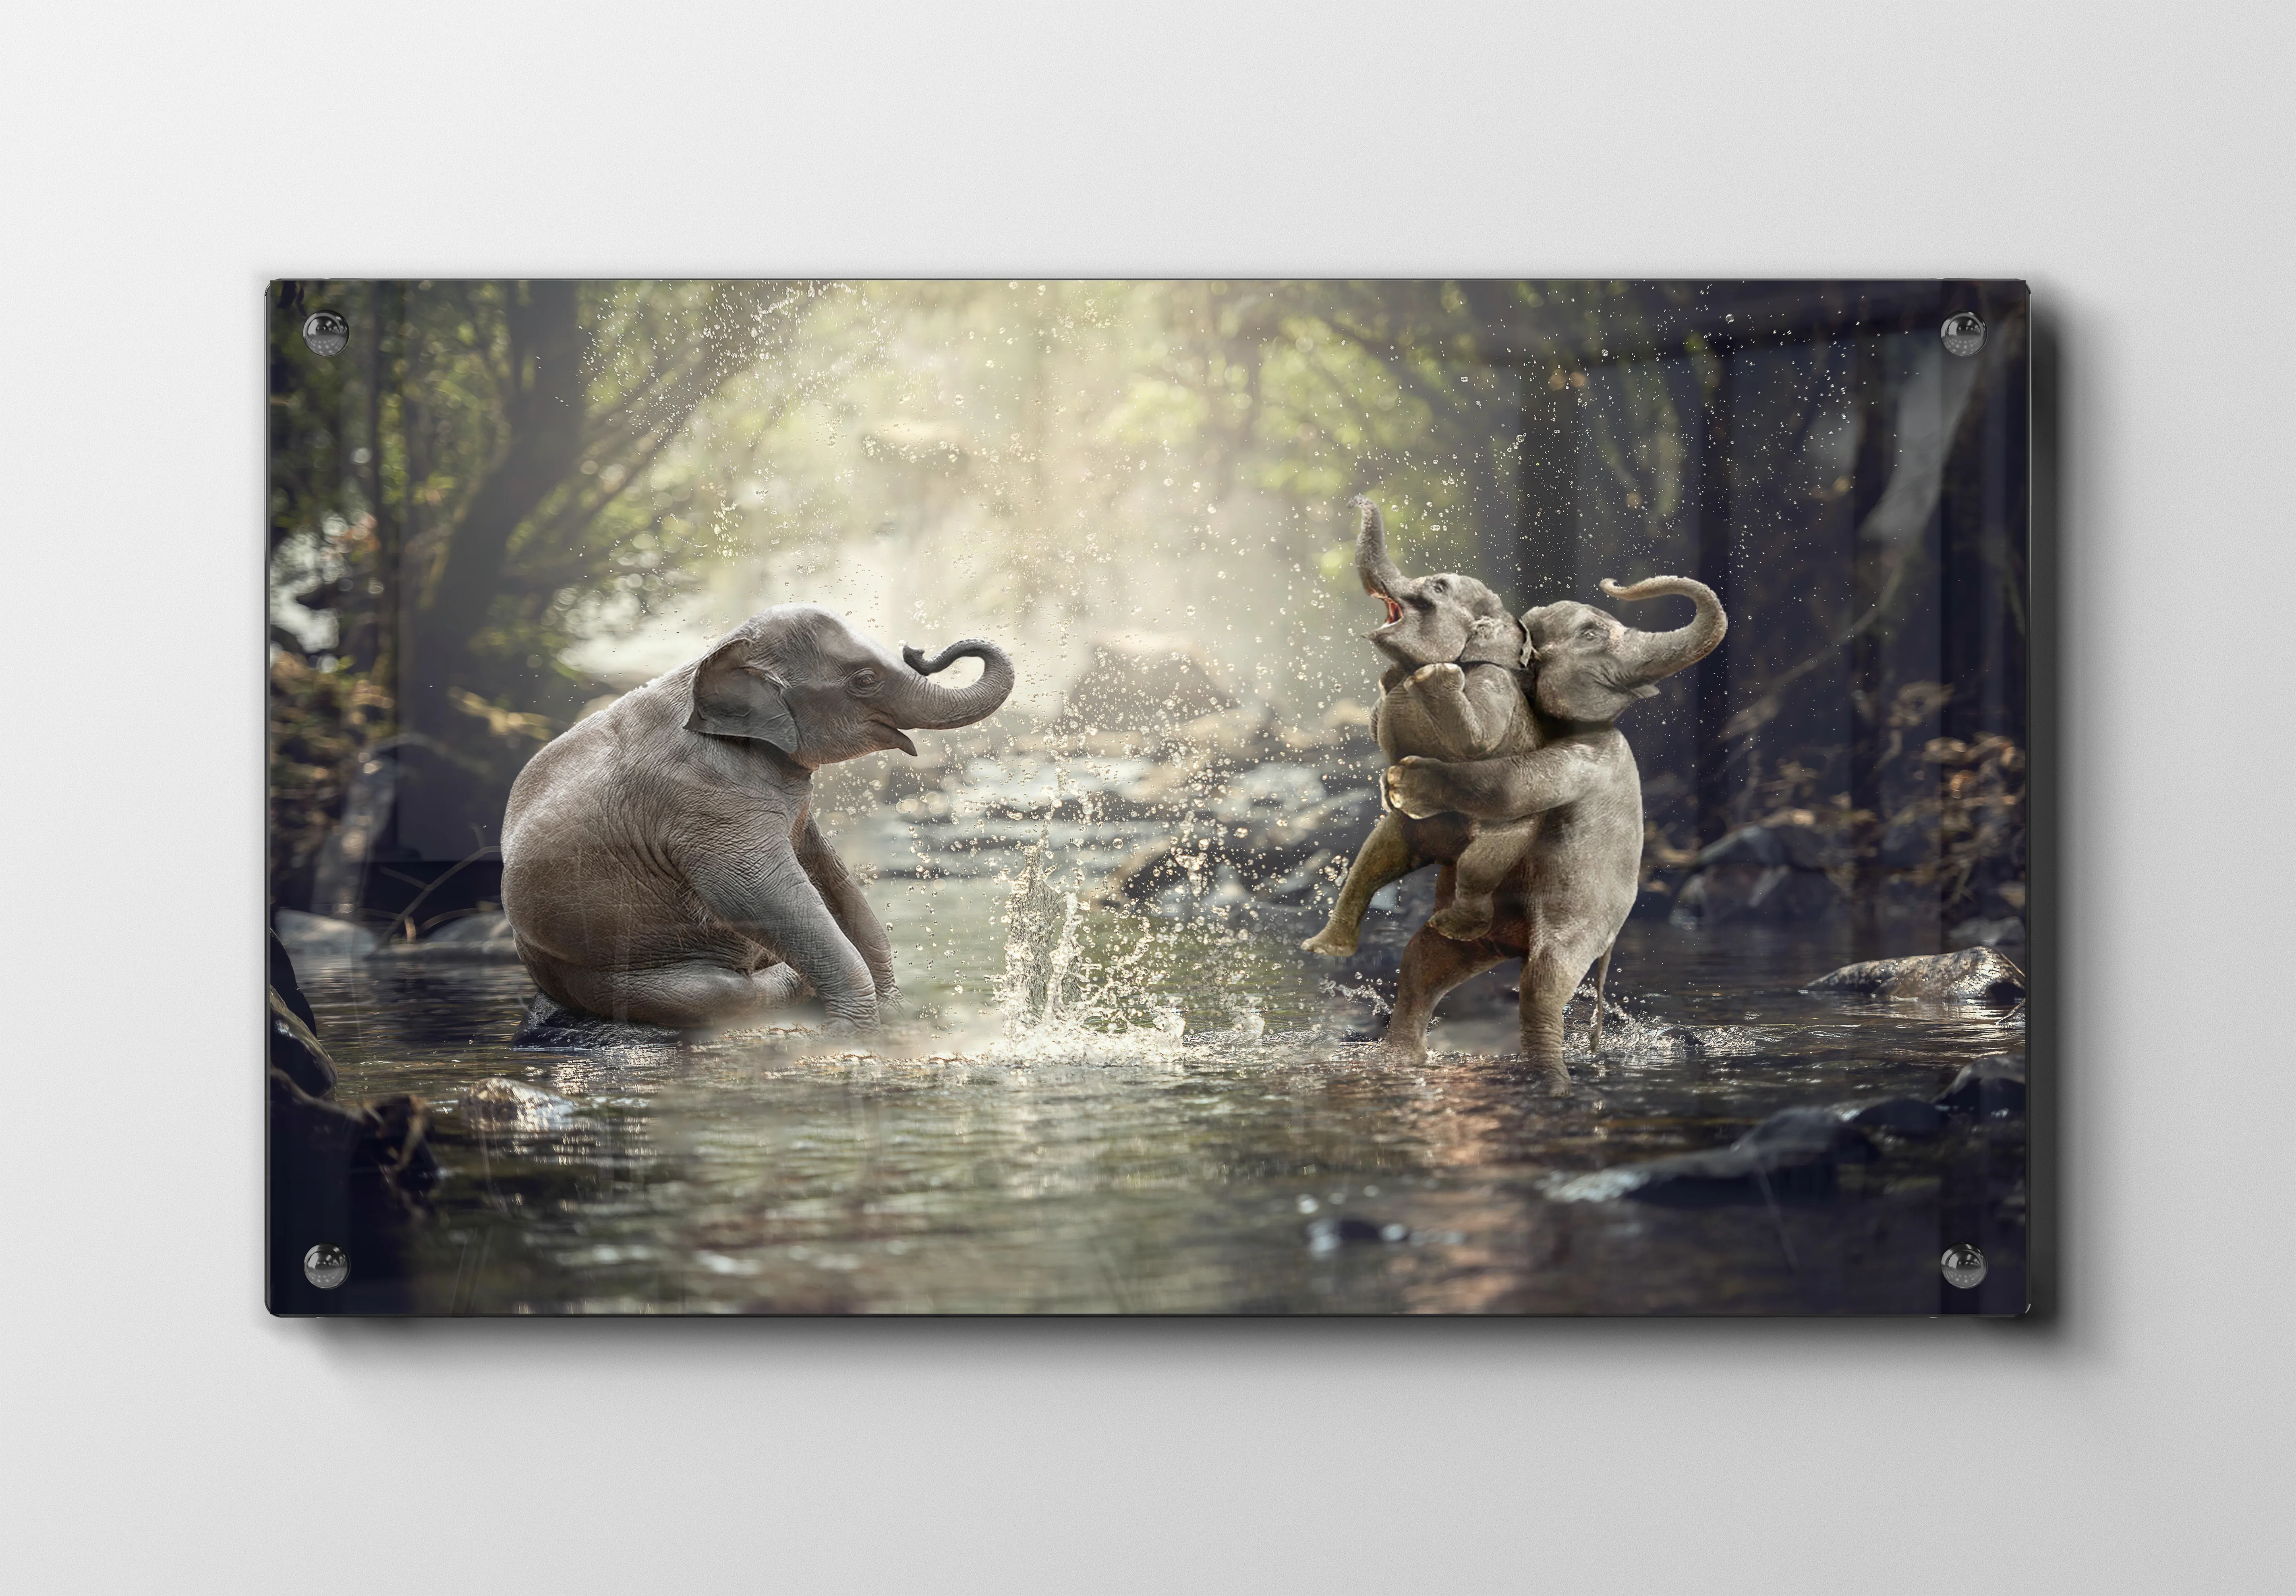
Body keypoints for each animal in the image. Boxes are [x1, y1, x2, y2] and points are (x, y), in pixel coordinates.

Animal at [500, 604, 1014, 1036]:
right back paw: (794, 986)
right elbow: (756, 891)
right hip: (603, 974)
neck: (713, 656)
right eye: (865, 679)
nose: (919, 651)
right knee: (713, 995)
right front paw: (853, 1033)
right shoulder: (704, 800)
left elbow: (831, 876)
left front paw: (895, 1013)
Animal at [1302, 497, 1543, 956]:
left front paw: (1436, 674)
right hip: (1414, 826)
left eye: (1438, 589)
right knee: (1373, 857)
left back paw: (1456, 929)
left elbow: (1478, 741)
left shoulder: (1495, 681)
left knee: (1482, 863)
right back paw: (1323, 948)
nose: (1356, 500)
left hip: (1514, 825)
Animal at [1377, 575, 1727, 1087]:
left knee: (1540, 986)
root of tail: (1514, 944)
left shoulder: (1588, 758)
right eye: (1592, 634)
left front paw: (1405, 782)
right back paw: (1400, 1062)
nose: (1614, 584)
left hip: (1579, 925)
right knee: (1424, 963)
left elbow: (1511, 789)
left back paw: (1550, 1080)